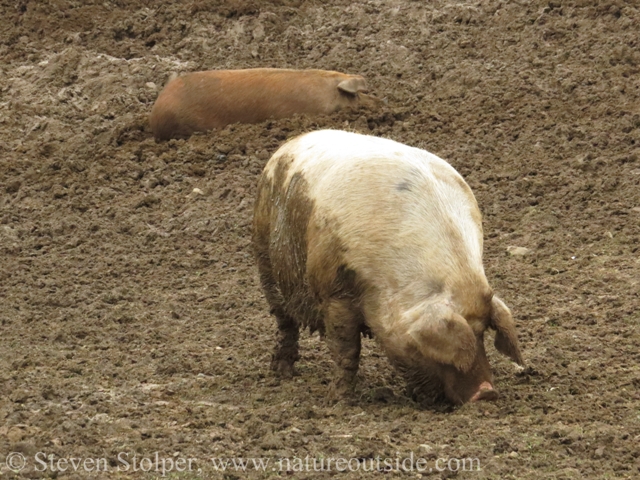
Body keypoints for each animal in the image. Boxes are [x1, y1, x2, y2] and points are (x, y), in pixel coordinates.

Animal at [251, 129, 524, 404]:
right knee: (284, 320)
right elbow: (346, 349)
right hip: (264, 254)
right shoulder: (334, 292)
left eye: (482, 333)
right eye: (426, 348)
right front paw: (337, 401)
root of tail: (291, 142)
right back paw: (282, 373)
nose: (487, 392)